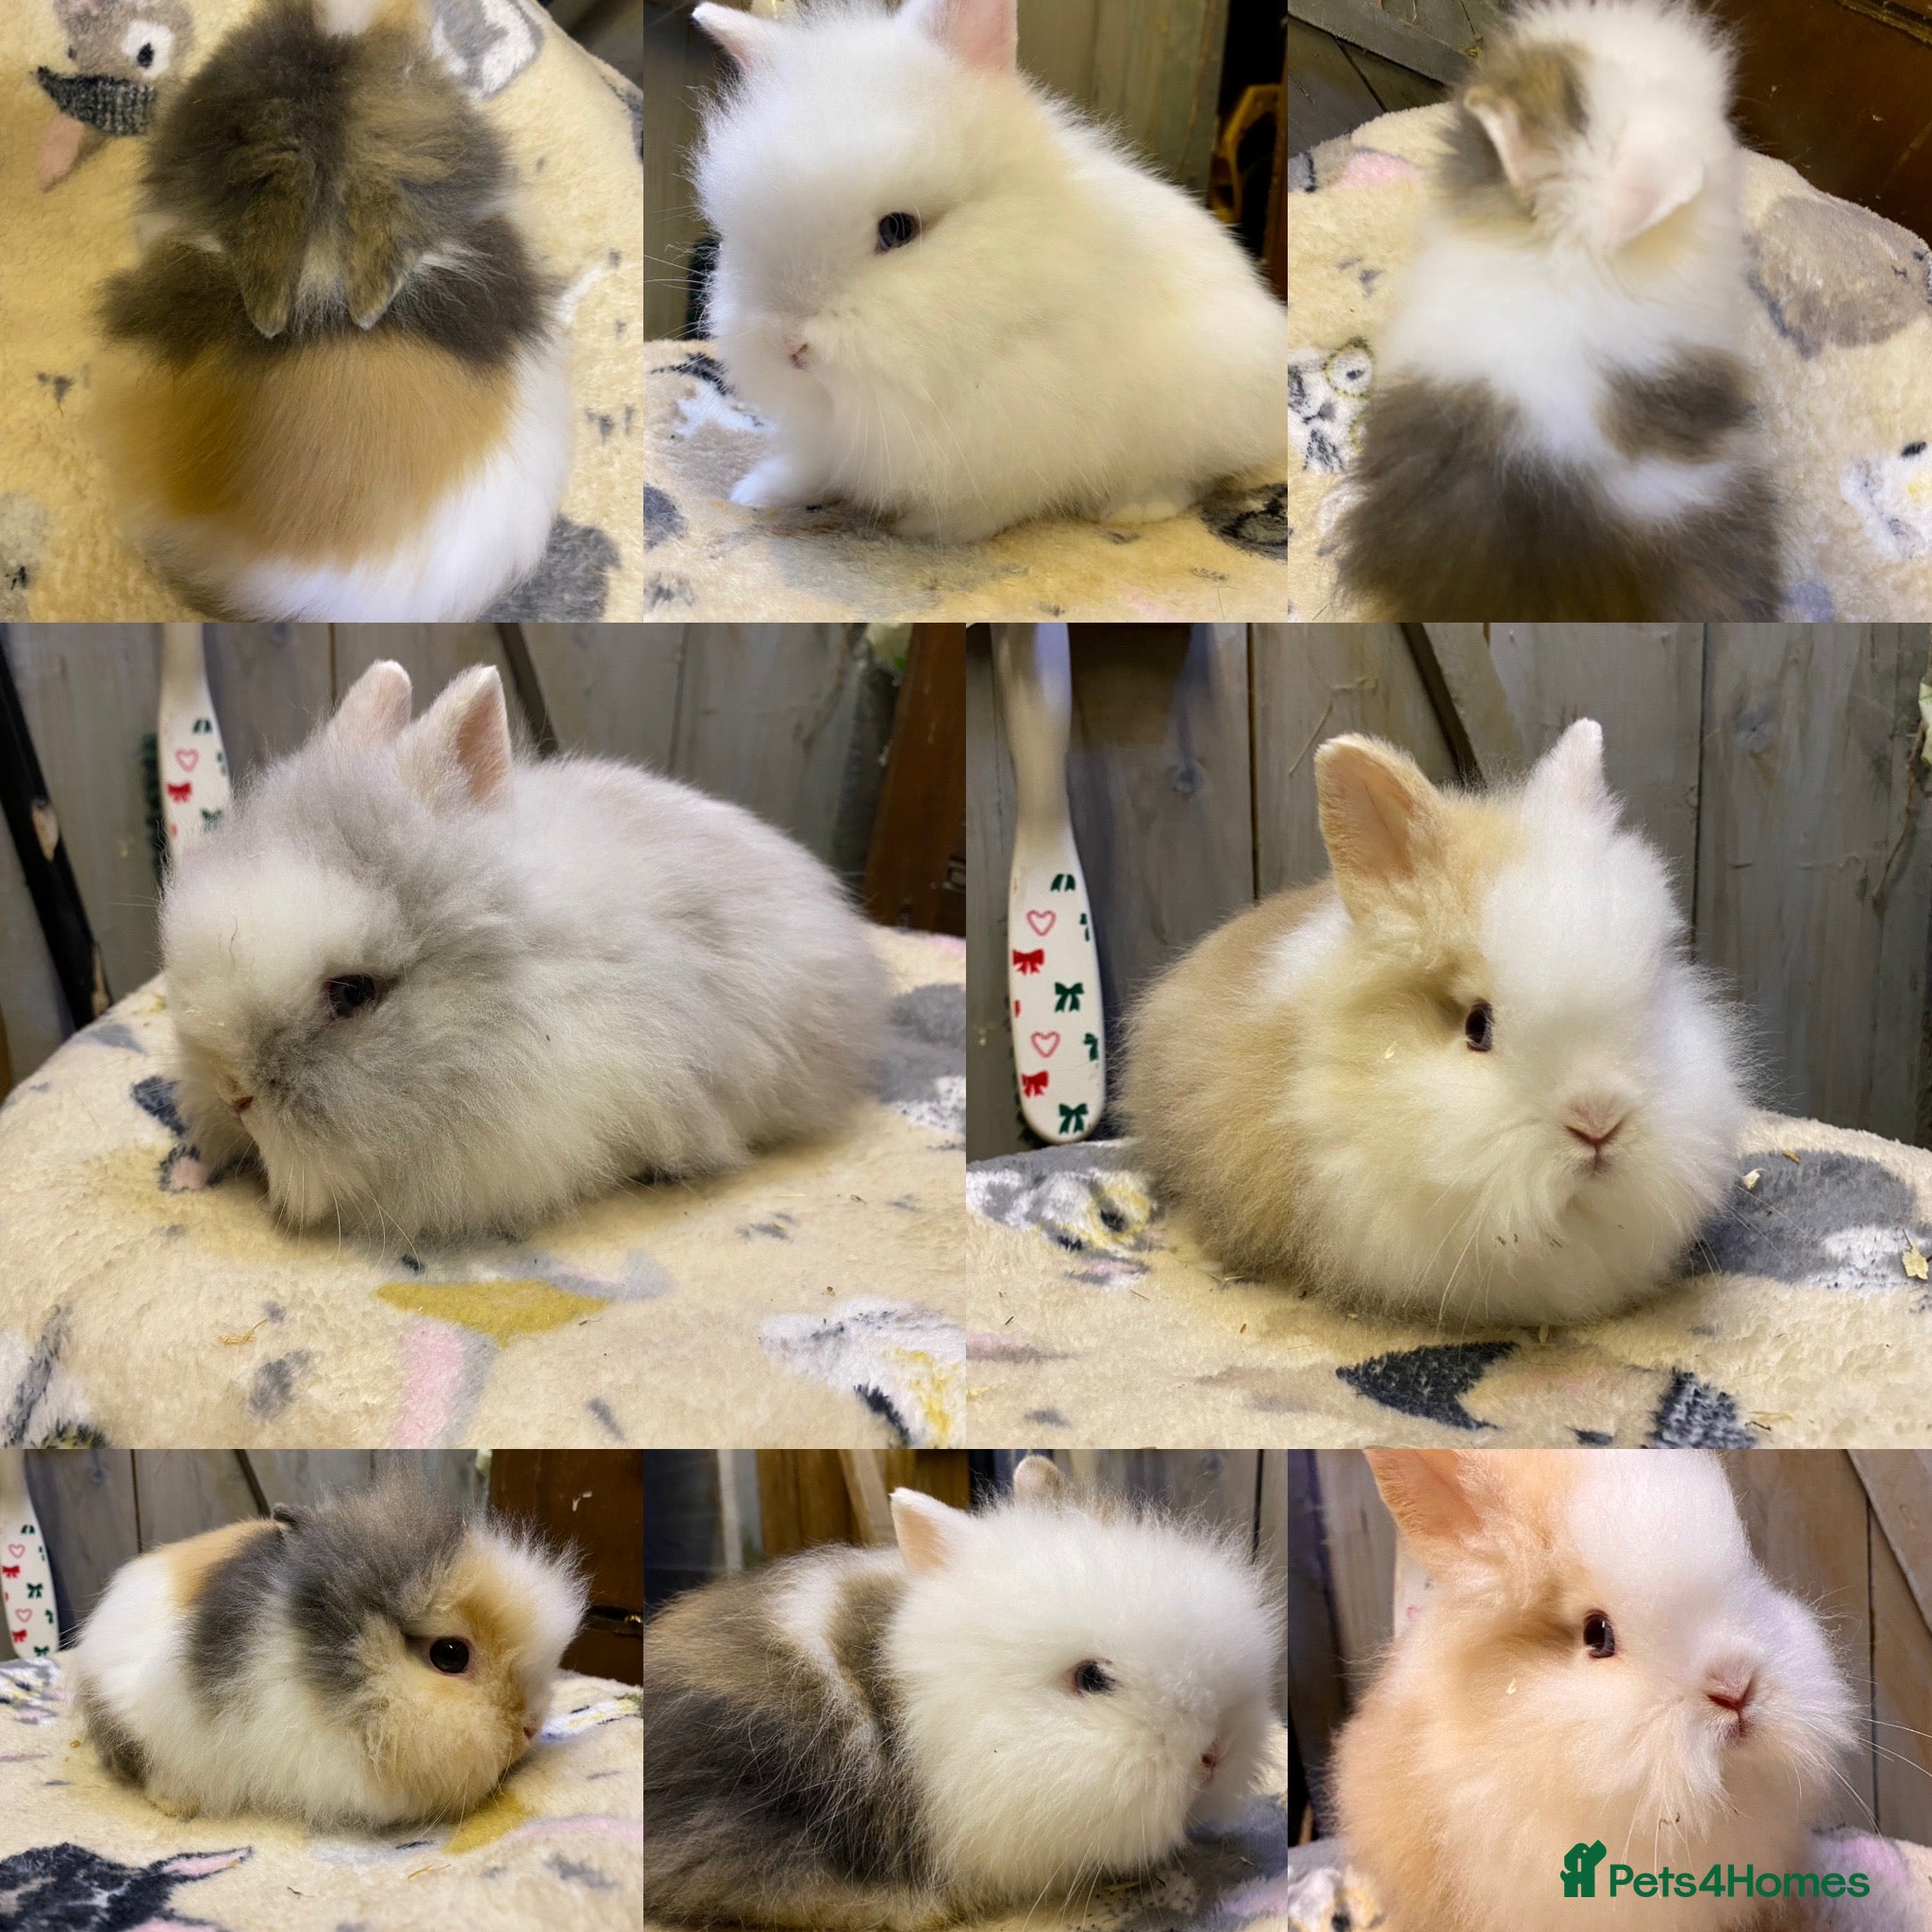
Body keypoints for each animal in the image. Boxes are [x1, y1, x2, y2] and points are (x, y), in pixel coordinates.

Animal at [688, 0, 1288, 545]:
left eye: (898, 229)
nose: (789, 345)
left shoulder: (1020, 427)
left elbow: (995, 498)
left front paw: (930, 530)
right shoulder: (835, 431)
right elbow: (821, 466)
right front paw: (763, 491)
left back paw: (1134, 510)